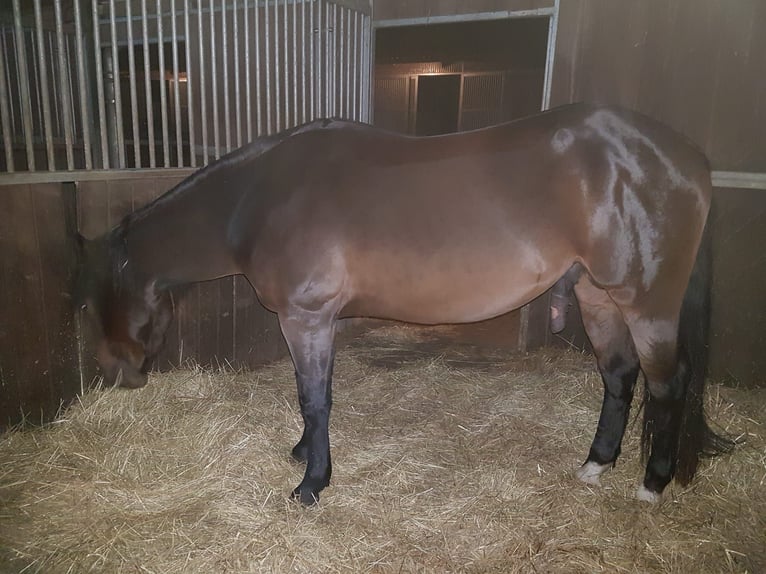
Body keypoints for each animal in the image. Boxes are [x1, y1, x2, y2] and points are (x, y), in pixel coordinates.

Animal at [75, 103, 731, 506]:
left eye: (87, 302)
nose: (111, 371)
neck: (259, 200)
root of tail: (688, 156)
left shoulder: (305, 316)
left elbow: (314, 398)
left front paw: (311, 484)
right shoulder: (316, 321)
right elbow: (312, 394)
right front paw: (303, 455)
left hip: (646, 302)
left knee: (667, 385)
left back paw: (651, 485)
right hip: (598, 296)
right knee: (618, 376)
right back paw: (596, 464)